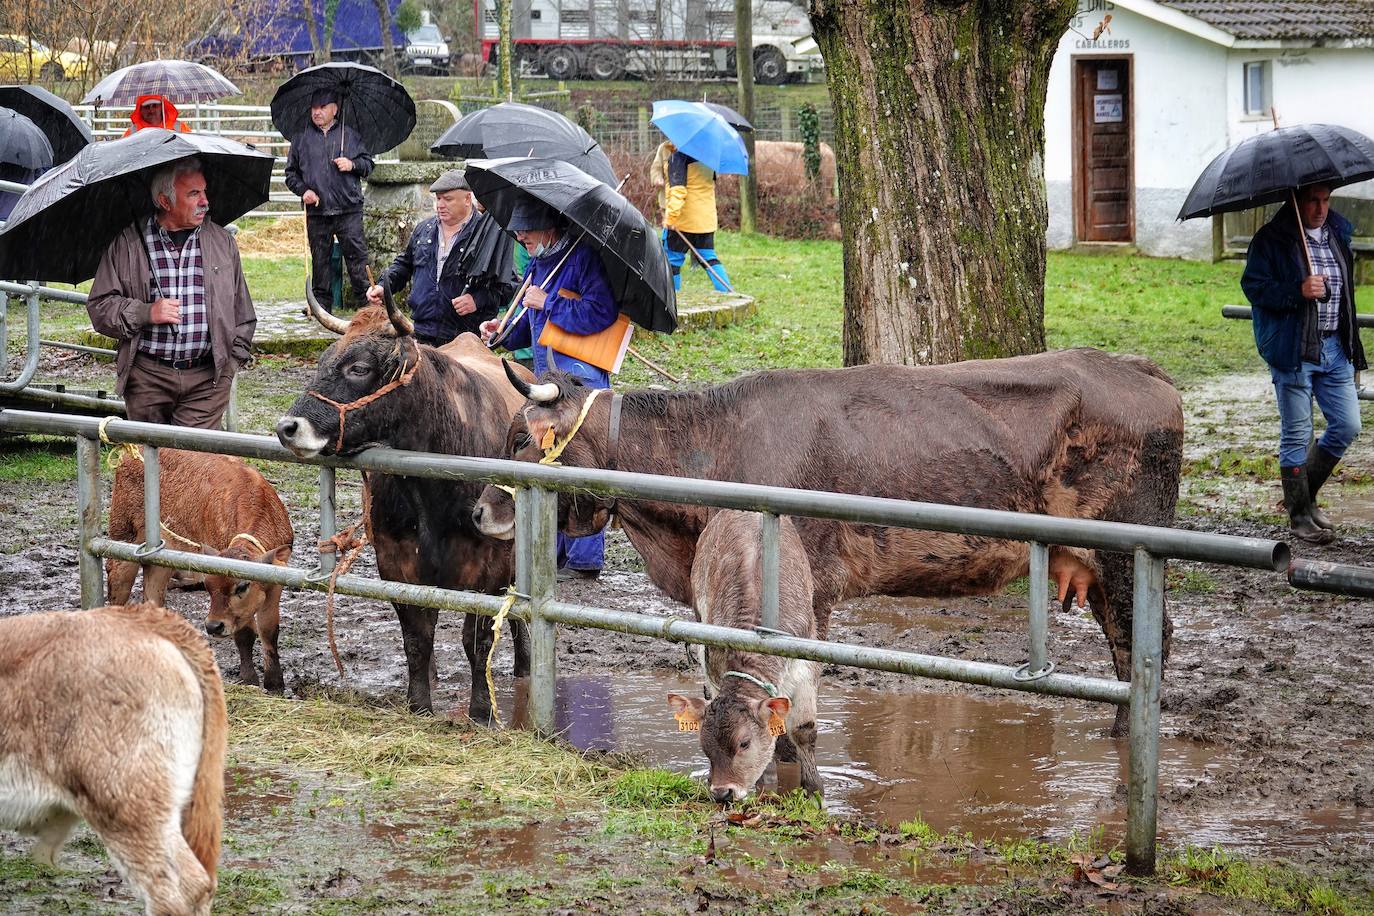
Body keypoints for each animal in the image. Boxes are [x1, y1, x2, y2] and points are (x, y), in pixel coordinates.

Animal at [109, 447, 295, 692]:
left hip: (163, 556)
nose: (213, 626)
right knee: (117, 583)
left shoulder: (276, 583)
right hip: (123, 536)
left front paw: (275, 683)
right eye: (207, 585)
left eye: (242, 586)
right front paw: (249, 679)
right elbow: (244, 634)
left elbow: (269, 630)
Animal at [667, 513, 818, 807]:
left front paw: (816, 793)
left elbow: (804, 729)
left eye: (744, 743)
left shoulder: (806, 670)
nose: (722, 792)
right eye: (704, 747)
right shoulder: (714, 669)